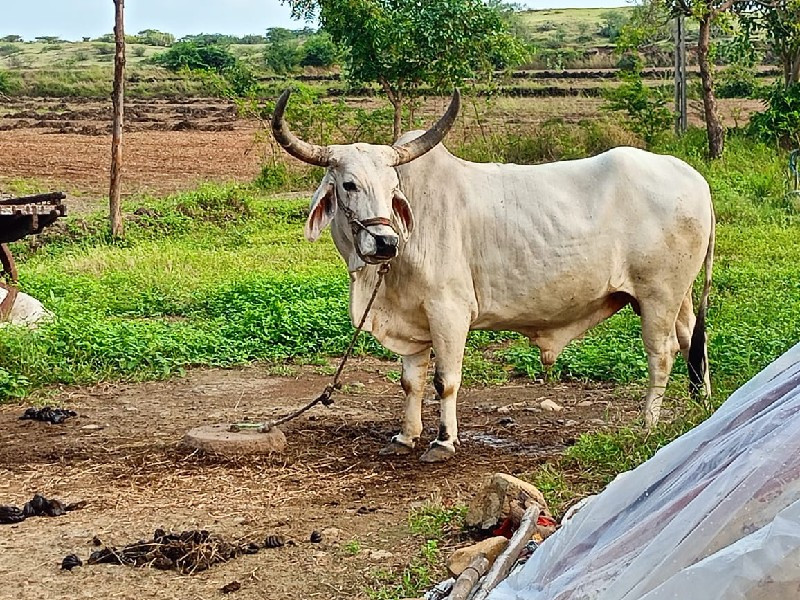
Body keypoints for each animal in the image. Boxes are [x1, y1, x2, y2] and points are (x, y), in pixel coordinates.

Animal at [272, 90, 716, 464]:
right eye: (348, 184)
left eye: (393, 186)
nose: (385, 242)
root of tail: (695, 179)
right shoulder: (413, 319)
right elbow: (411, 382)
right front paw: (405, 435)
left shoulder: (449, 311)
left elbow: (444, 380)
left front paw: (443, 442)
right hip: (679, 295)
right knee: (692, 339)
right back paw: (702, 407)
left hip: (658, 295)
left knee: (662, 355)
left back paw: (648, 424)